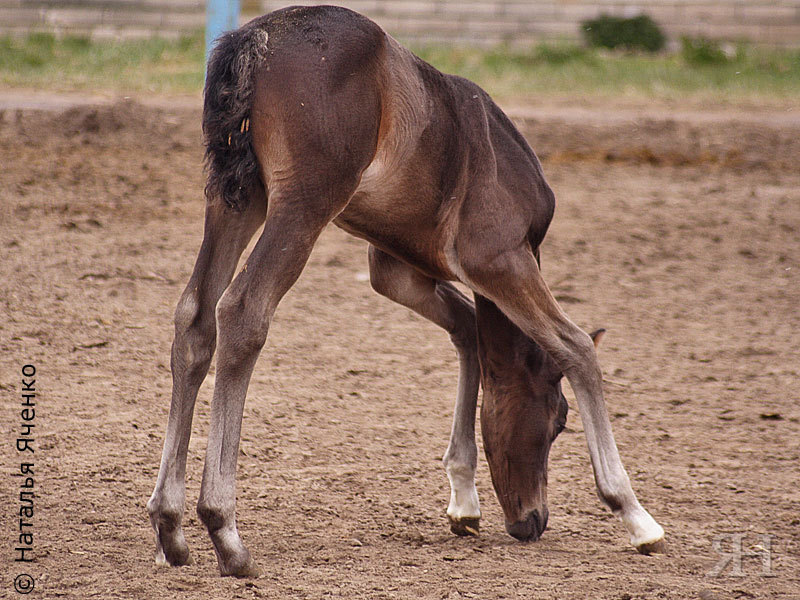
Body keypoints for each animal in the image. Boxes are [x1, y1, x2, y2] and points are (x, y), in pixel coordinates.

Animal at [147, 4, 664, 576]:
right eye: (557, 422)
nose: (532, 521)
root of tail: (254, 39)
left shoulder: (397, 268)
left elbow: (467, 329)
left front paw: (464, 498)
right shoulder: (499, 259)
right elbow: (573, 347)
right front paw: (635, 514)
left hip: (238, 200)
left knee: (194, 318)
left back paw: (170, 526)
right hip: (303, 203)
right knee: (242, 312)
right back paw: (226, 531)